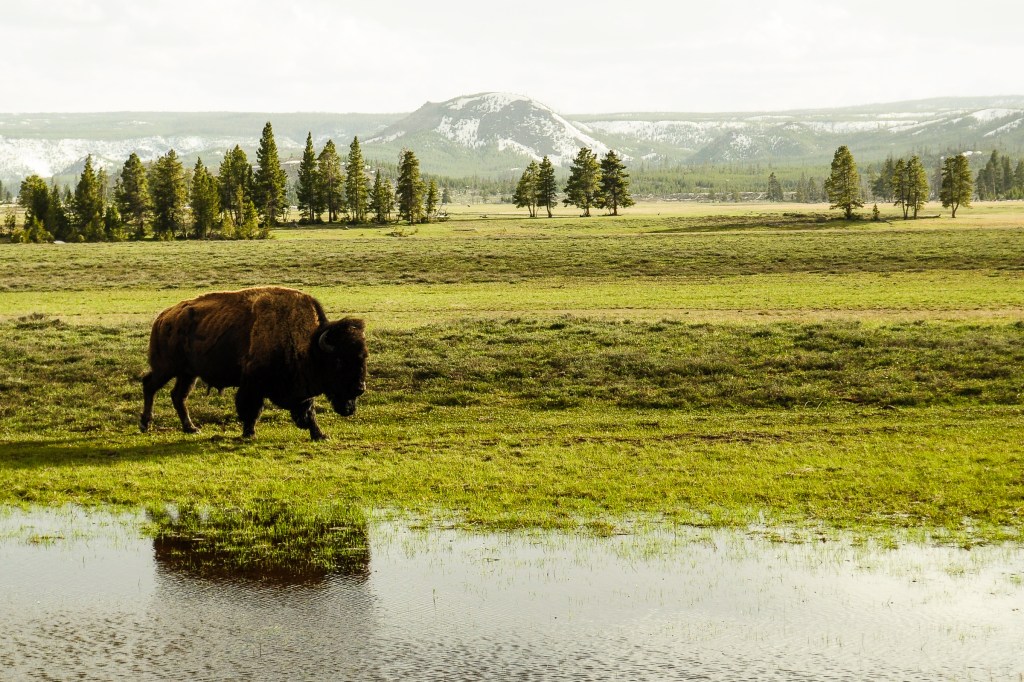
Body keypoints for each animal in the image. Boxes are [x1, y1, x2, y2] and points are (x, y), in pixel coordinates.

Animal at [140, 287, 367, 440]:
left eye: (363, 356)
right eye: (338, 360)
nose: (360, 388)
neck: (309, 344)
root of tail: (163, 317)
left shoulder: (299, 390)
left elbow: (308, 410)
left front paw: (320, 435)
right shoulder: (253, 384)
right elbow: (252, 408)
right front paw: (248, 433)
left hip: (188, 373)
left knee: (178, 396)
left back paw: (191, 428)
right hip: (166, 368)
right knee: (149, 385)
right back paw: (145, 425)